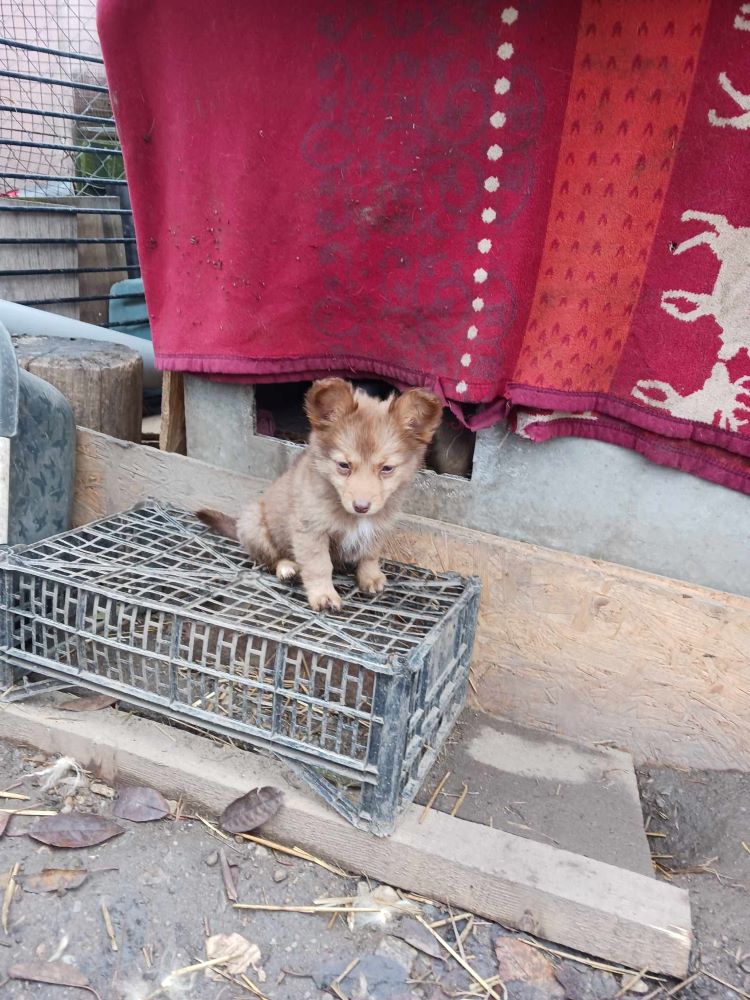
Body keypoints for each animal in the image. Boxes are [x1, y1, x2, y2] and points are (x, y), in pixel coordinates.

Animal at [200, 376, 446, 608]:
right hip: (255, 526)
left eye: (387, 469)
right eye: (344, 465)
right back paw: (287, 568)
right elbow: (319, 566)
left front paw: (371, 577)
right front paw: (324, 596)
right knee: (271, 559)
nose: (361, 507)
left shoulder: (378, 527)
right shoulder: (311, 531)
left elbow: (370, 555)